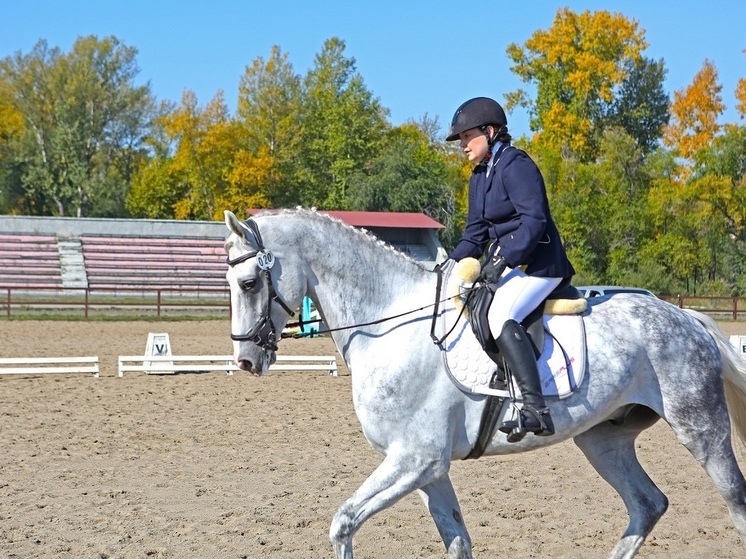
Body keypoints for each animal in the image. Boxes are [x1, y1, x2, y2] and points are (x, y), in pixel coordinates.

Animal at [224, 209, 744, 559]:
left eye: (249, 283)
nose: (246, 360)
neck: (388, 326)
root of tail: (686, 317)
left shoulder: (416, 460)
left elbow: (343, 522)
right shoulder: (427, 468)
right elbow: (457, 540)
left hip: (700, 428)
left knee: (733, 500)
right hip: (603, 439)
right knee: (647, 503)